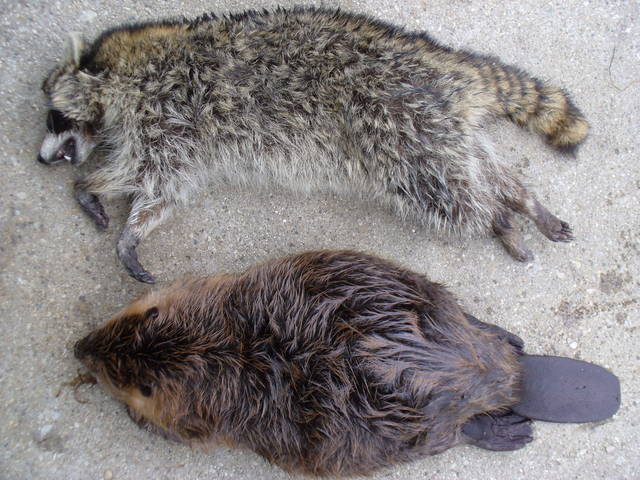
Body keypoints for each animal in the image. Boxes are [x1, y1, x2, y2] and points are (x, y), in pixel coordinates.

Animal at [38, 8, 588, 283]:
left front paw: (100, 195)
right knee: (480, 163)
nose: (40, 159)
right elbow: (161, 186)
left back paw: (498, 217)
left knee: (443, 193)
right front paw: (102, 191)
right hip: (439, 122)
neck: (123, 68)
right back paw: (522, 201)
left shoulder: (165, 112)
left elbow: (155, 179)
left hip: (398, 123)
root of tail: (447, 60)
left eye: (51, 114)